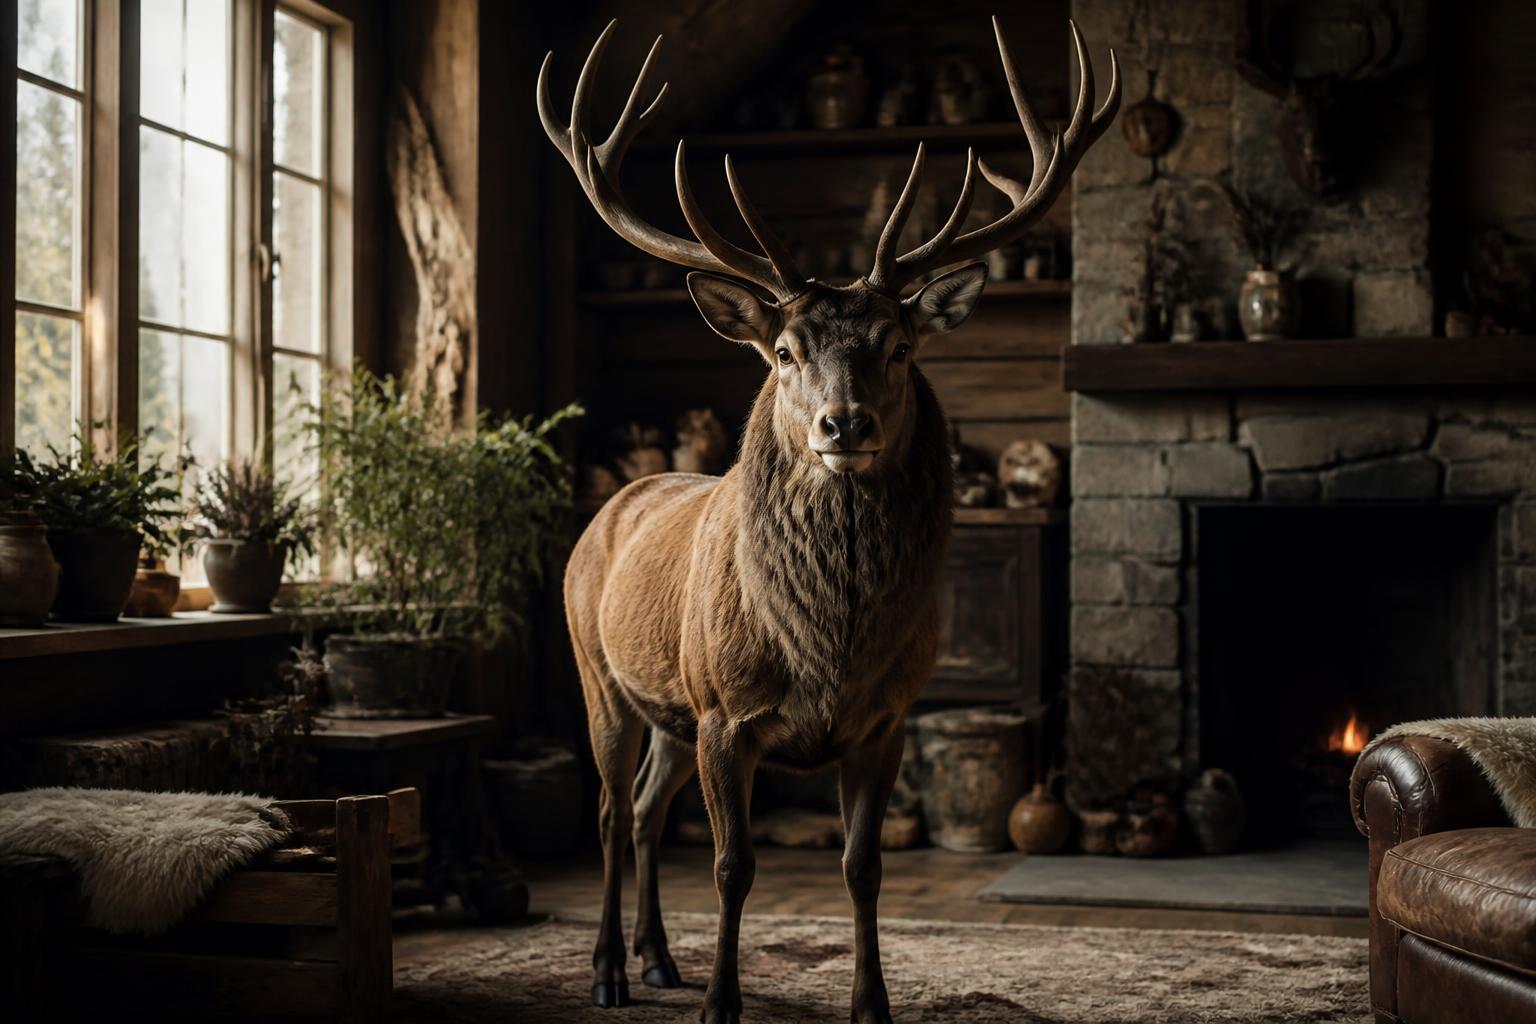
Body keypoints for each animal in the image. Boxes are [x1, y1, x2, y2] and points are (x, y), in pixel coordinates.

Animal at [540, 16, 1118, 1024]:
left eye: (901, 345)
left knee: (647, 810)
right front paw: (723, 1004)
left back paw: (658, 959)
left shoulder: (883, 720)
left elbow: (863, 866)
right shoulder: (725, 712)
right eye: (783, 350)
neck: (825, 651)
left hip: (668, 709)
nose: (843, 425)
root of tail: (612, 505)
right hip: (599, 672)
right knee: (610, 814)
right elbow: (732, 868)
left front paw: (871, 1003)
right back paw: (609, 969)